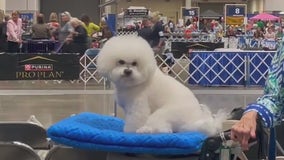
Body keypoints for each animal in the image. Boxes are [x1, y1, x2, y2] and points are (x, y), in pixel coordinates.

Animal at [96, 35, 227, 136]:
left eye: (135, 63)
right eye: (121, 62)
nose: (128, 71)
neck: (134, 83)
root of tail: (193, 121)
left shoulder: (138, 106)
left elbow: (135, 120)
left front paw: (130, 131)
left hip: (164, 113)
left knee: (163, 129)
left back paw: (144, 130)